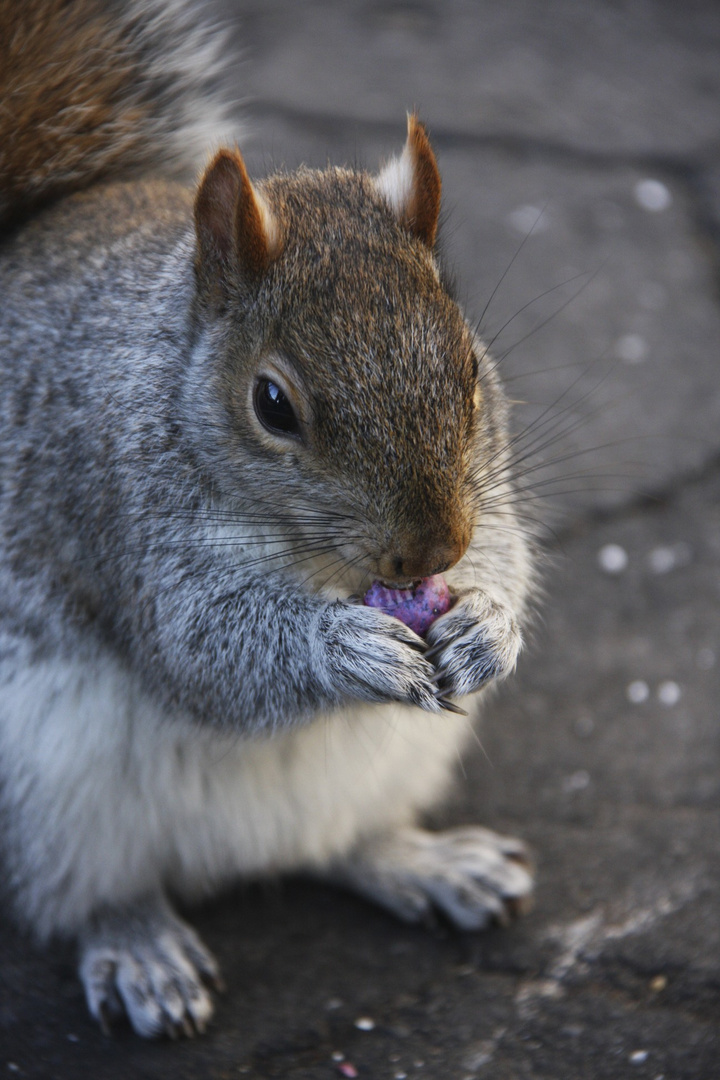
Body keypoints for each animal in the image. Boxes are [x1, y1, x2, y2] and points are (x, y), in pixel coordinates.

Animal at [0, 0, 535, 1041]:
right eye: (273, 404)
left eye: (470, 369)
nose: (432, 550)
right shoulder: (112, 503)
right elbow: (199, 648)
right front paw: (342, 649)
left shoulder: (490, 492)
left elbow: (511, 555)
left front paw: (488, 623)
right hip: (48, 790)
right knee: (85, 889)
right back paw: (139, 946)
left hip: (395, 762)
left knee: (335, 844)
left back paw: (426, 863)